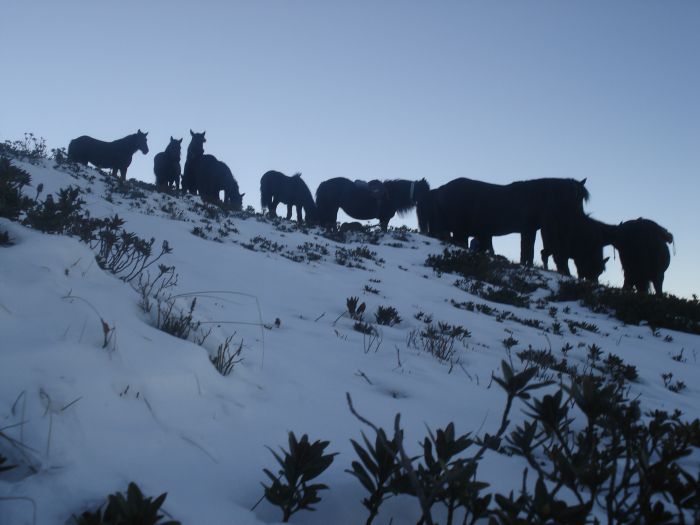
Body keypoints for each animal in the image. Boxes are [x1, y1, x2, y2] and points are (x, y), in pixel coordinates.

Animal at [418, 177, 588, 266]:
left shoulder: (529, 230)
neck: (535, 197)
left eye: (581, 198)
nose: (581, 217)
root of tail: (439, 191)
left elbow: (528, 250)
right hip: (457, 230)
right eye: (575, 197)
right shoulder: (527, 229)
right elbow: (527, 250)